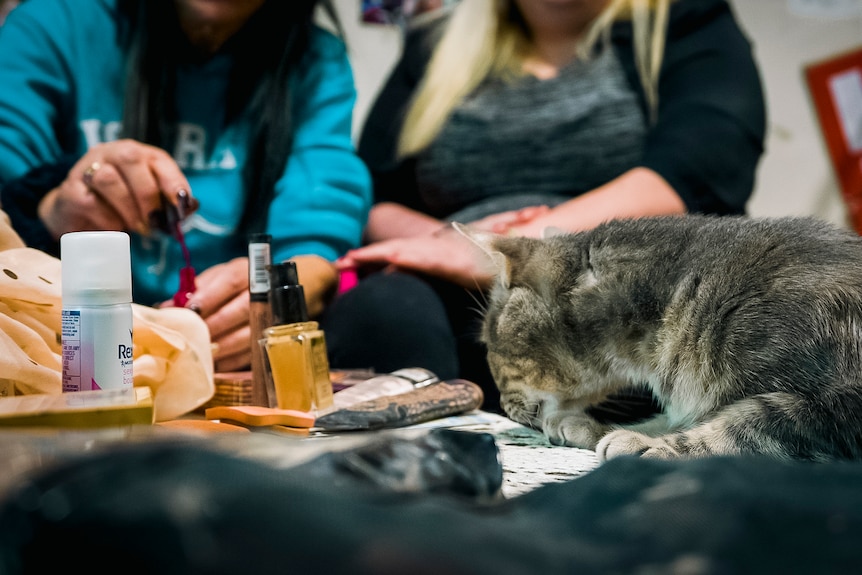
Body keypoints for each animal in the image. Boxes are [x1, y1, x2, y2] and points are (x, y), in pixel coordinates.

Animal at [470, 216, 862, 464]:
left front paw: (649, 446)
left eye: (488, 343)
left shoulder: (833, 408)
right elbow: (667, 418)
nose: (500, 405)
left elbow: (749, 423)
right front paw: (598, 427)